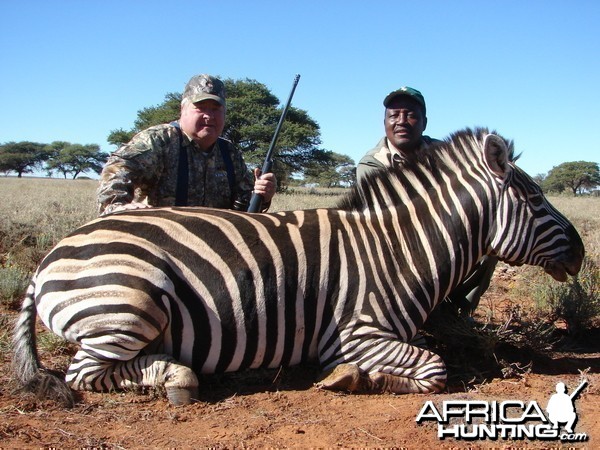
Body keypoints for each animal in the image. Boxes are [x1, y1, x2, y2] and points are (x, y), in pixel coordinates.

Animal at [12, 127, 580, 408]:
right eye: (534, 199)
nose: (578, 252)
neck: (397, 249)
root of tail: (48, 259)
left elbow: (431, 362)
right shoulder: (356, 331)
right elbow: (434, 371)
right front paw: (351, 379)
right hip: (132, 303)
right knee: (85, 373)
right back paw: (177, 376)